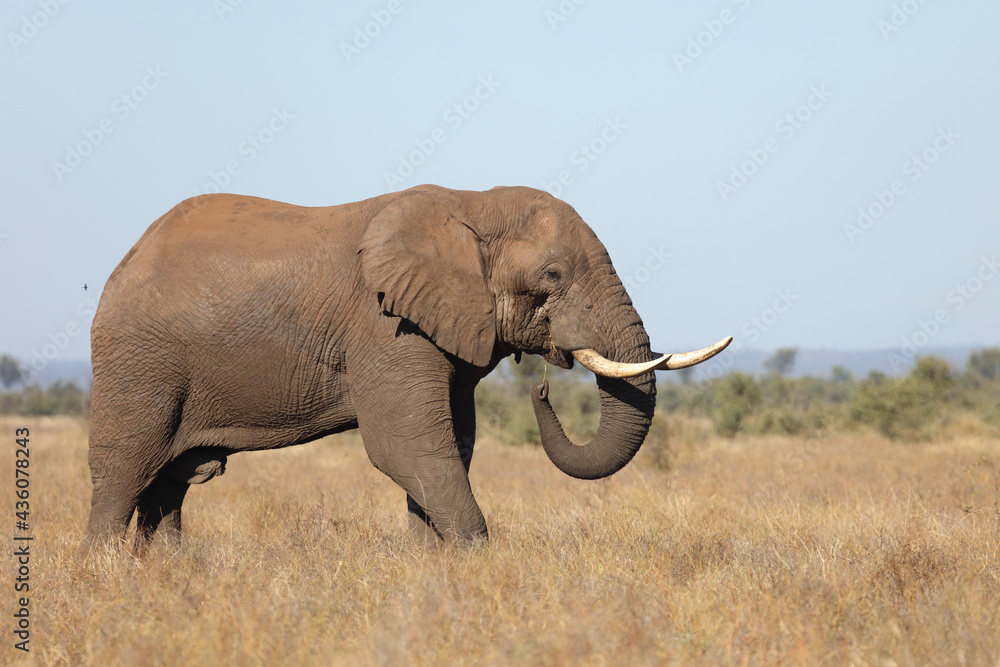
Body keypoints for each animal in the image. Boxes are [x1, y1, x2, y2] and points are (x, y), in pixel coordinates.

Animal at [83, 184, 730, 551]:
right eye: (552, 276)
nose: (542, 388)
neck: (470, 204)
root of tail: (124, 261)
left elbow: (452, 447)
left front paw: (427, 567)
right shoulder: (385, 327)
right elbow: (408, 448)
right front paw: (473, 562)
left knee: (169, 483)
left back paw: (168, 573)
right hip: (137, 361)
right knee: (126, 468)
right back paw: (105, 573)